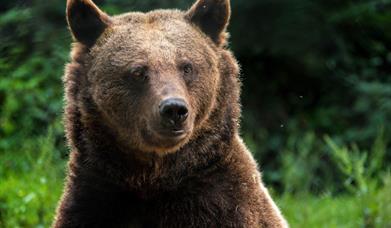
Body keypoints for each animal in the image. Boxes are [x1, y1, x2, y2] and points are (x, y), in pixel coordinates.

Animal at [53, 0, 288, 227]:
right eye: (138, 72)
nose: (174, 109)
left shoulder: (225, 204)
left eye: (187, 66)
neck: (155, 177)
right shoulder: (94, 198)